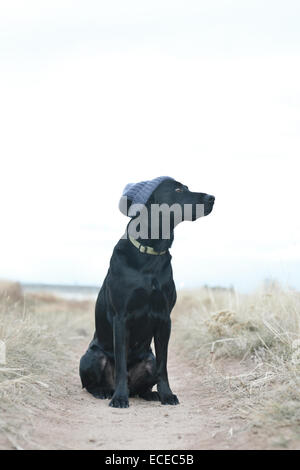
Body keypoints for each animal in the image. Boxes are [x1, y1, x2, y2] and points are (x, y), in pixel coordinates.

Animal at [80, 178, 213, 406]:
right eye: (178, 189)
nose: (212, 198)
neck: (151, 253)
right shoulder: (121, 317)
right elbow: (121, 364)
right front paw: (120, 397)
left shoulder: (164, 318)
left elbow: (163, 365)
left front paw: (167, 394)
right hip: (92, 357)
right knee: (91, 384)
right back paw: (105, 391)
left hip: (148, 359)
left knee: (146, 380)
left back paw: (150, 393)